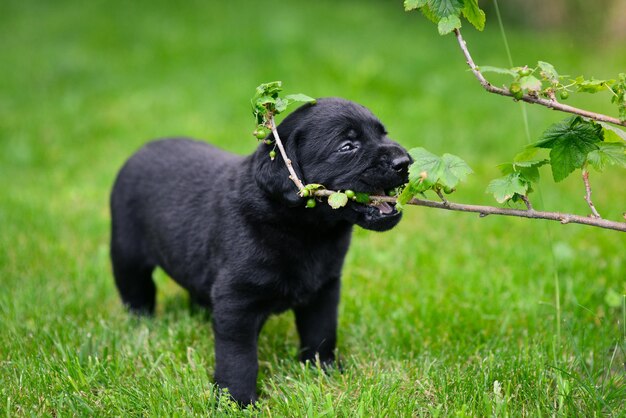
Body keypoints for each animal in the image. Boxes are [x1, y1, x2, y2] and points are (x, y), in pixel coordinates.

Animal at [108, 96, 410, 404]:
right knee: (137, 294)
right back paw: (142, 327)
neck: (306, 231)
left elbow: (321, 332)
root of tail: (141, 150)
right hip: (127, 254)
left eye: (383, 134)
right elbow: (239, 357)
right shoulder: (235, 300)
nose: (405, 162)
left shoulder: (324, 289)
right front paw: (236, 400)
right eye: (347, 146)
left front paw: (324, 371)